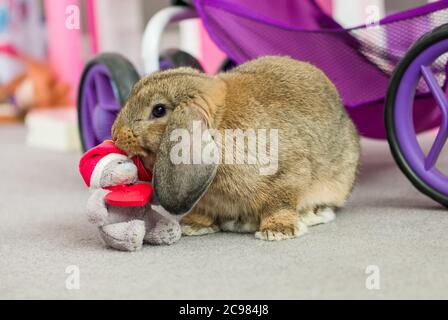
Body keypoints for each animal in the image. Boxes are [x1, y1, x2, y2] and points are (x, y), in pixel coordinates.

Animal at [112, 55, 360, 240]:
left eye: (159, 110)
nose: (115, 134)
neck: (218, 122)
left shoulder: (287, 174)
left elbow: (279, 203)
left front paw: (277, 231)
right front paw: (193, 226)